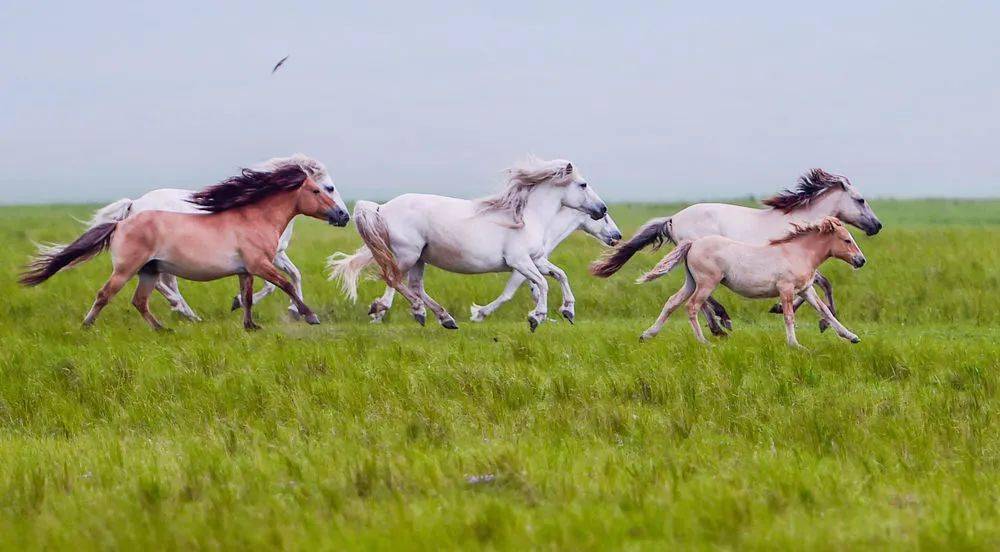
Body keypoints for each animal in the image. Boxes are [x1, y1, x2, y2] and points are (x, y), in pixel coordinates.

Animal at [18, 163, 352, 328]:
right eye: (320, 189)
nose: (343, 216)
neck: (253, 217)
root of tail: (122, 221)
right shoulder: (261, 264)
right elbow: (286, 283)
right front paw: (309, 316)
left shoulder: (246, 269)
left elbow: (248, 295)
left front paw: (250, 325)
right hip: (128, 269)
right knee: (106, 294)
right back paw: (88, 325)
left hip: (149, 271)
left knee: (140, 301)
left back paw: (164, 327)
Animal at [328, 155, 608, 332]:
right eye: (583, 184)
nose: (602, 208)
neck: (529, 218)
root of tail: (381, 207)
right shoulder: (519, 261)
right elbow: (542, 283)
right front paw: (536, 318)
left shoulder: (537, 259)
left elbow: (560, 275)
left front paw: (568, 310)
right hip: (407, 255)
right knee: (394, 279)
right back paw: (403, 309)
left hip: (420, 258)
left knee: (415, 286)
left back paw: (444, 318)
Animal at [588, 168, 880, 332]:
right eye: (860, 199)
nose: (877, 225)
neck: (800, 222)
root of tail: (673, 218)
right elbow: (825, 283)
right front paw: (817, 321)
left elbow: (818, 286)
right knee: (700, 297)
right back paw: (721, 322)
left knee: (694, 295)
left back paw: (717, 324)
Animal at [632, 218, 868, 348]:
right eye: (847, 240)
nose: (861, 260)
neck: (798, 252)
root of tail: (693, 243)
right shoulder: (786, 289)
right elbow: (789, 316)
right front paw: (796, 345)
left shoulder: (806, 290)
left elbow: (825, 312)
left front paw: (852, 337)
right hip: (707, 283)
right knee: (692, 307)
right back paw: (705, 342)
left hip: (691, 282)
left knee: (672, 302)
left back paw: (647, 335)